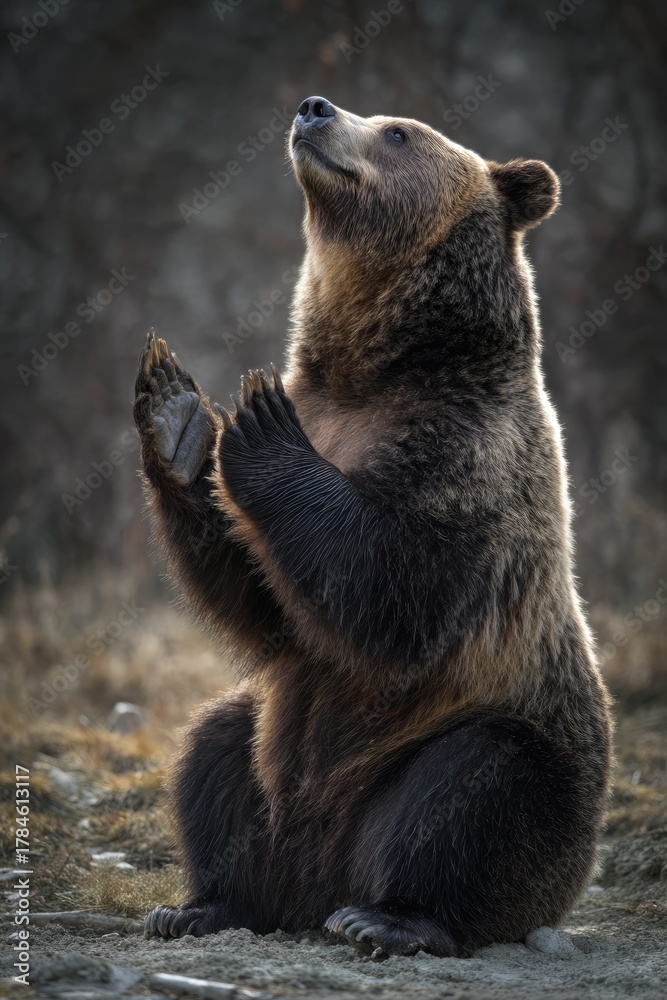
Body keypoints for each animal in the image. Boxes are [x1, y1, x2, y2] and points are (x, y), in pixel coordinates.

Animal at [134, 96, 612, 958]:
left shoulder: (470, 448)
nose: (314, 108)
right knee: (215, 750)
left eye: (397, 131)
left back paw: (392, 917)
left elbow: (402, 589)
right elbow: (265, 604)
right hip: (269, 775)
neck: (374, 370)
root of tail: (315, 880)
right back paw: (202, 904)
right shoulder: (328, 424)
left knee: (475, 788)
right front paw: (180, 418)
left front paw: (260, 423)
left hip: (507, 752)